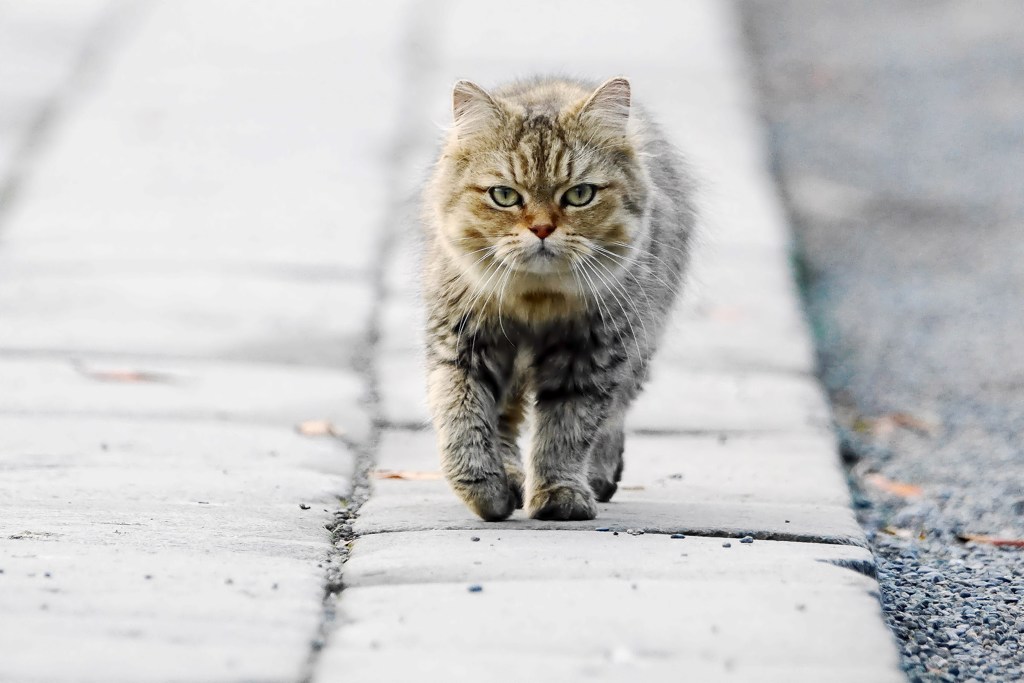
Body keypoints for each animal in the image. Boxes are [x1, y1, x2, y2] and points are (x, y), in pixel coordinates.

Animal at [417, 76, 696, 524]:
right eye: (504, 196)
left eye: (579, 195)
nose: (543, 229)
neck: (536, 299)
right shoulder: (463, 343)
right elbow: (464, 421)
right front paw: (487, 491)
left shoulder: (591, 354)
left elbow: (566, 432)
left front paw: (559, 496)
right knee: (506, 421)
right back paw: (512, 478)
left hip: (642, 341)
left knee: (613, 416)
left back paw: (598, 477)